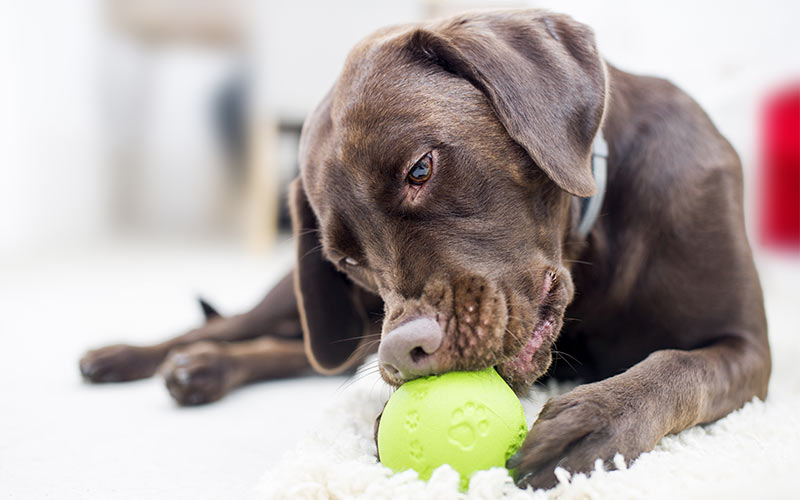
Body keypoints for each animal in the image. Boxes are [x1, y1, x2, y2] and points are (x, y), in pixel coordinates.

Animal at [79, 10, 768, 488]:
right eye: (345, 260)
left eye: (421, 168)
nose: (404, 355)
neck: (593, 249)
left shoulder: (746, 347)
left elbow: (676, 367)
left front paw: (594, 418)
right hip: (305, 309)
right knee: (238, 327)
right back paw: (137, 358)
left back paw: (200, 370)